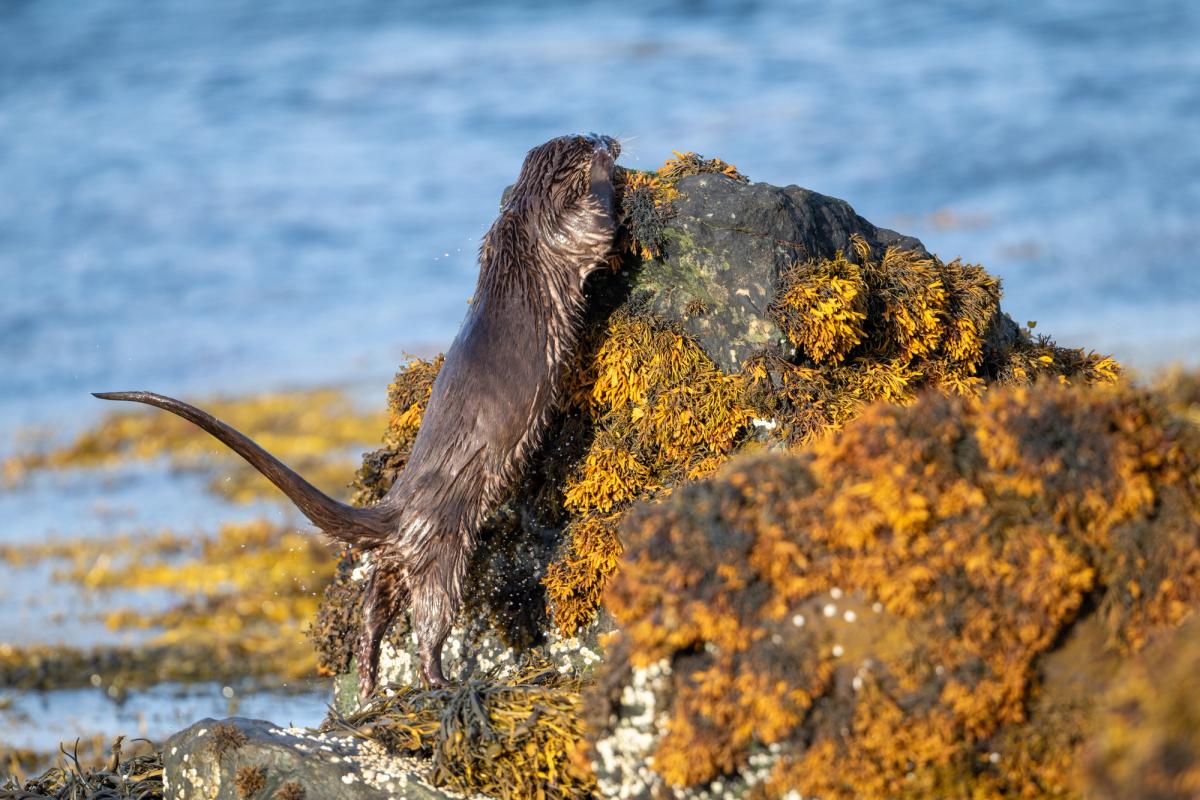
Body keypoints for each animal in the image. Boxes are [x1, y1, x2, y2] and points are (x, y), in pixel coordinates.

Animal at [96, 134, 619, 705]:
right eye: (590, 137)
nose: (610, 140)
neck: (523, 224)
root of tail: (397, 509)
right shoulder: (563, 235)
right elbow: (600, 228)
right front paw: (610, 176)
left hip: (393, 561)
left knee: (372, 613)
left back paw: (369, 687)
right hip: (441, 549)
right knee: (429, 621)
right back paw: (443, 681)